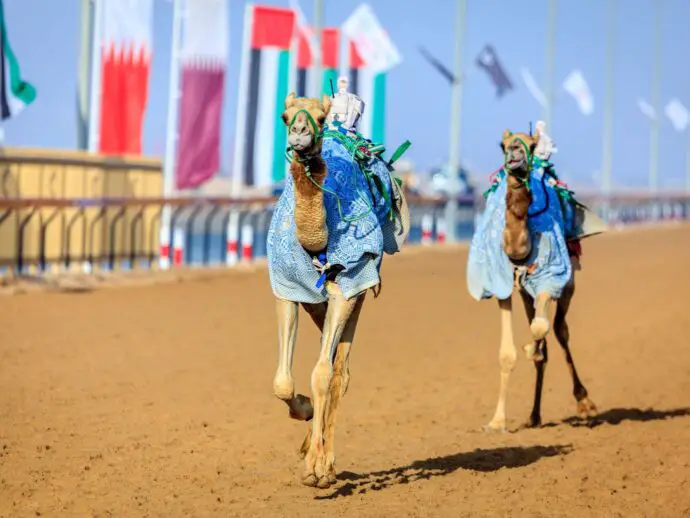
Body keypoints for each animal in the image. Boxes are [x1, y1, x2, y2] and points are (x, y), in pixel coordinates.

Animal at [266, 87, 408, 490]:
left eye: (320, 115)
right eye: (284, 116)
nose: (299, 134)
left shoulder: (349, 284)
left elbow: (322, 375)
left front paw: (315, 470)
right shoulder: (288, 288)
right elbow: (283, 381)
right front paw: (304, 410)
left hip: (358, 291)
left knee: (339, 371)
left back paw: (325, 463)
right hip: (318, 303)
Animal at [464, 123, 604, 434]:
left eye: (531, 143)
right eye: (502, 145)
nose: (515, 153)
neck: (518, 251)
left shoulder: (550, 279)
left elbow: (541, 328)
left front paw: (531, 347)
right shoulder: (503, 288)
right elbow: (507, 353)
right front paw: (497, 421)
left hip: (567, 283)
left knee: (560, 330)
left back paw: (584, 401)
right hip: (525, 292)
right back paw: (534, 415)